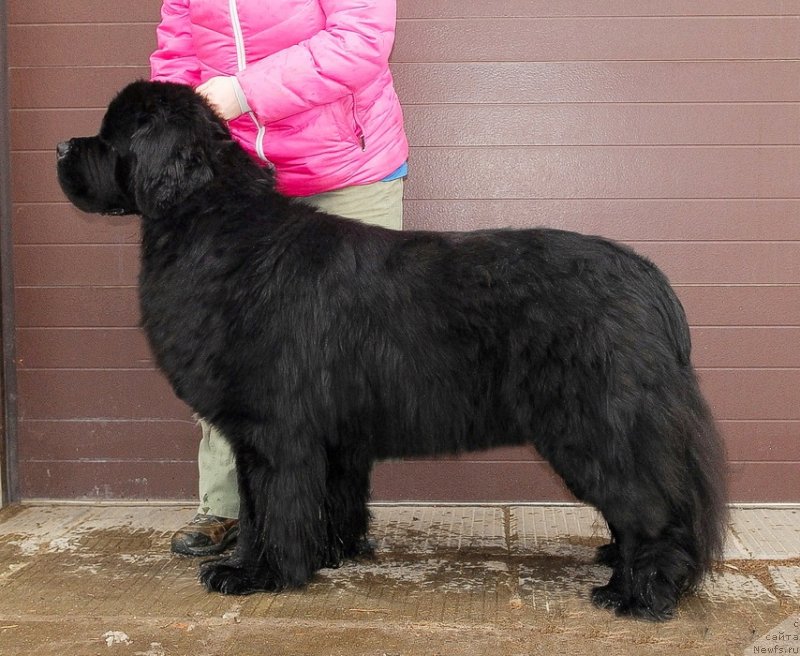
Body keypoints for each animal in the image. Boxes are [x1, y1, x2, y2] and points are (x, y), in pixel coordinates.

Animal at [57, 82, 724, 620]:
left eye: (112, 136)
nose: (62, 147)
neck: (213, 227)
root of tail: (649, 279)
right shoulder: (321, 436)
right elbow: (319, 500)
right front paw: (328, 553)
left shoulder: (272, 429)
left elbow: (266, 508)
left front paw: (256, 574)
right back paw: (617, 560)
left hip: (596, 422)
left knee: (654, 505)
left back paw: (640, 594)